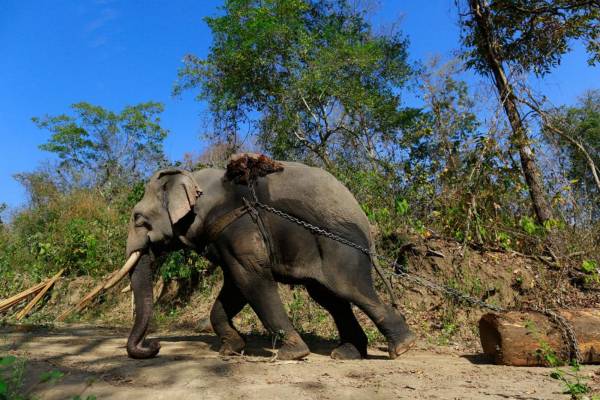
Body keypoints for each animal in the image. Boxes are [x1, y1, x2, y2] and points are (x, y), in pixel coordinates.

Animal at [122, 158, 412, 360]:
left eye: (138, 219)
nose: (155, 344)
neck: (194, 180)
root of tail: (367, 228)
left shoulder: (238, 224)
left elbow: (251, 278)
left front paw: (292, 354)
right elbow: (235, 286)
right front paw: (232, 349)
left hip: (340, 247)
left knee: (350, 289)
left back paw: (402, 347)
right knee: (330, 299)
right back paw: (347, 354)